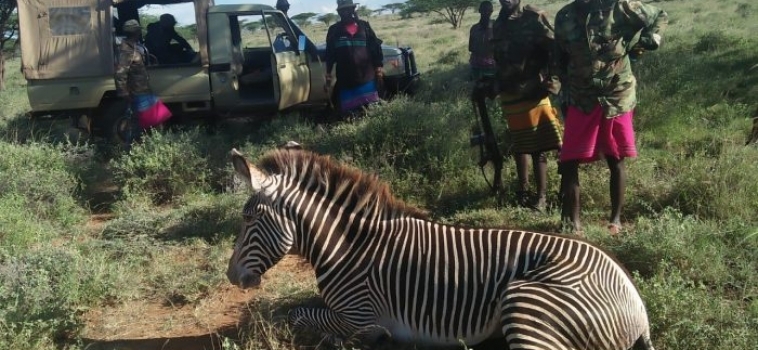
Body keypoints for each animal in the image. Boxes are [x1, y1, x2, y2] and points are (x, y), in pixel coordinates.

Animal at [227, 148, 660, 350]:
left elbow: (296, 314)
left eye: (248, 218)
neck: (346, 247)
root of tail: (637, 305)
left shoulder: (360, 316)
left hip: (527, 303)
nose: (231, 277)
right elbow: (294, 309)